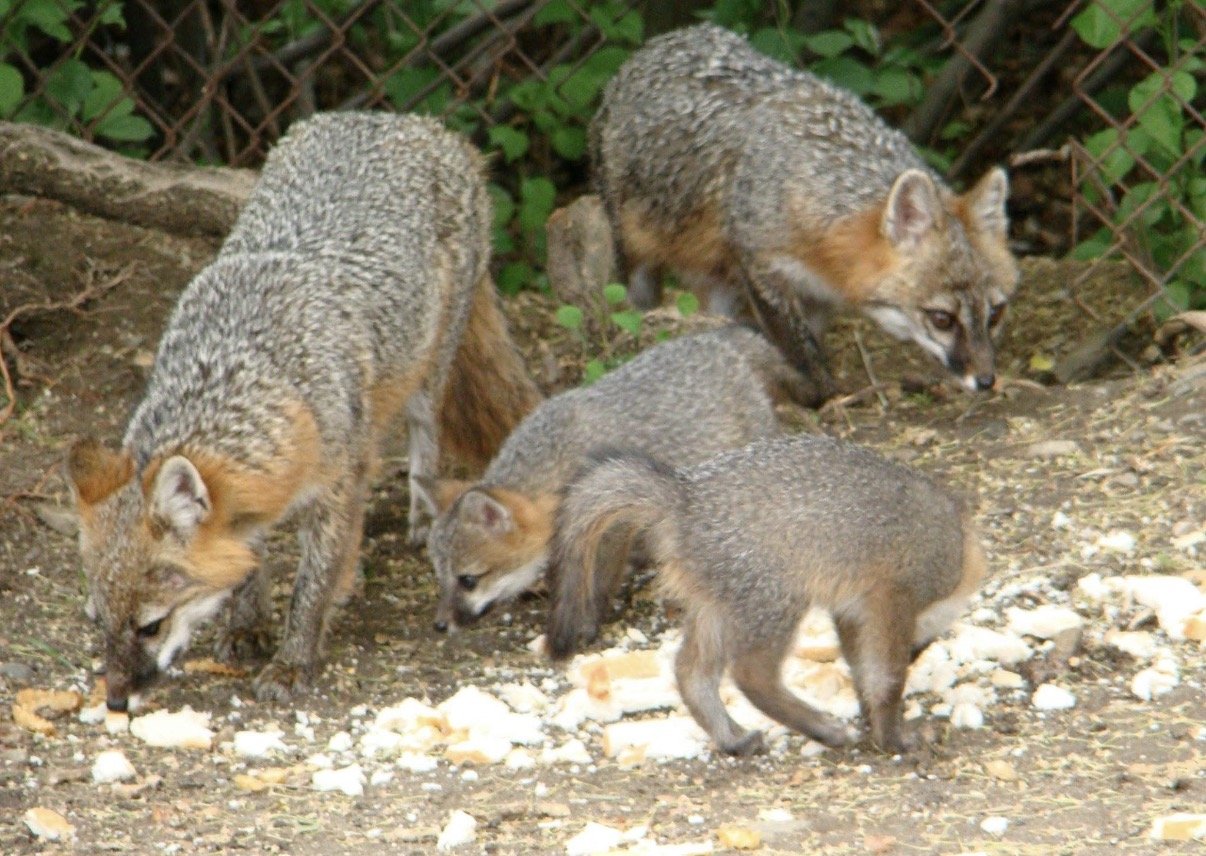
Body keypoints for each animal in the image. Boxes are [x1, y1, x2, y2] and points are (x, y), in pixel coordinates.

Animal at [66, 112, 540, 709]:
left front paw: (294, 659)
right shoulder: (252, 497)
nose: (116, 701)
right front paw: (248, 624)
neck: (240, 360)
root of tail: (408, 121)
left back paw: (417, 516)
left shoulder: (338, 483)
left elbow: (312, 583)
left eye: (150, 626)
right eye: (98, 622)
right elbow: (249, 563)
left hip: (427, 374)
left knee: (423, 437)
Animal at [412, 324, 823, 632]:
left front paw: (585, 623)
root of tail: (716, 340)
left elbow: (597, 580)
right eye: (439, 576)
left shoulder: (609, 522)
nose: (440, 626)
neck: (556, 459)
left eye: (468, 580)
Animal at [545, 434, 987, 755]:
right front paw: (894, 737)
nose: (916, 653)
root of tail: (683, 494)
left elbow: (862, 669)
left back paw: (733, 739)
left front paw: (873, 719)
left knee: (691, 672)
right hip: (778, 603)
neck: (961, 545)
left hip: (718, 609)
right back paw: (824, 730)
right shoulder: (892, 600)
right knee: (751, 676)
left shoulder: (851, 610)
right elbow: (886, 678)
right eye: (922, 644)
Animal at [590, 23, 1019, 394]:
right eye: (942, 319)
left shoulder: (819, 293)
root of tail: (660, 43)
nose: (986, 382)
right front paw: (824, 394)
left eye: (995, 313)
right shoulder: (762, 270)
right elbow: (800, 350)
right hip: (636, 257)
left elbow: (813, 339)